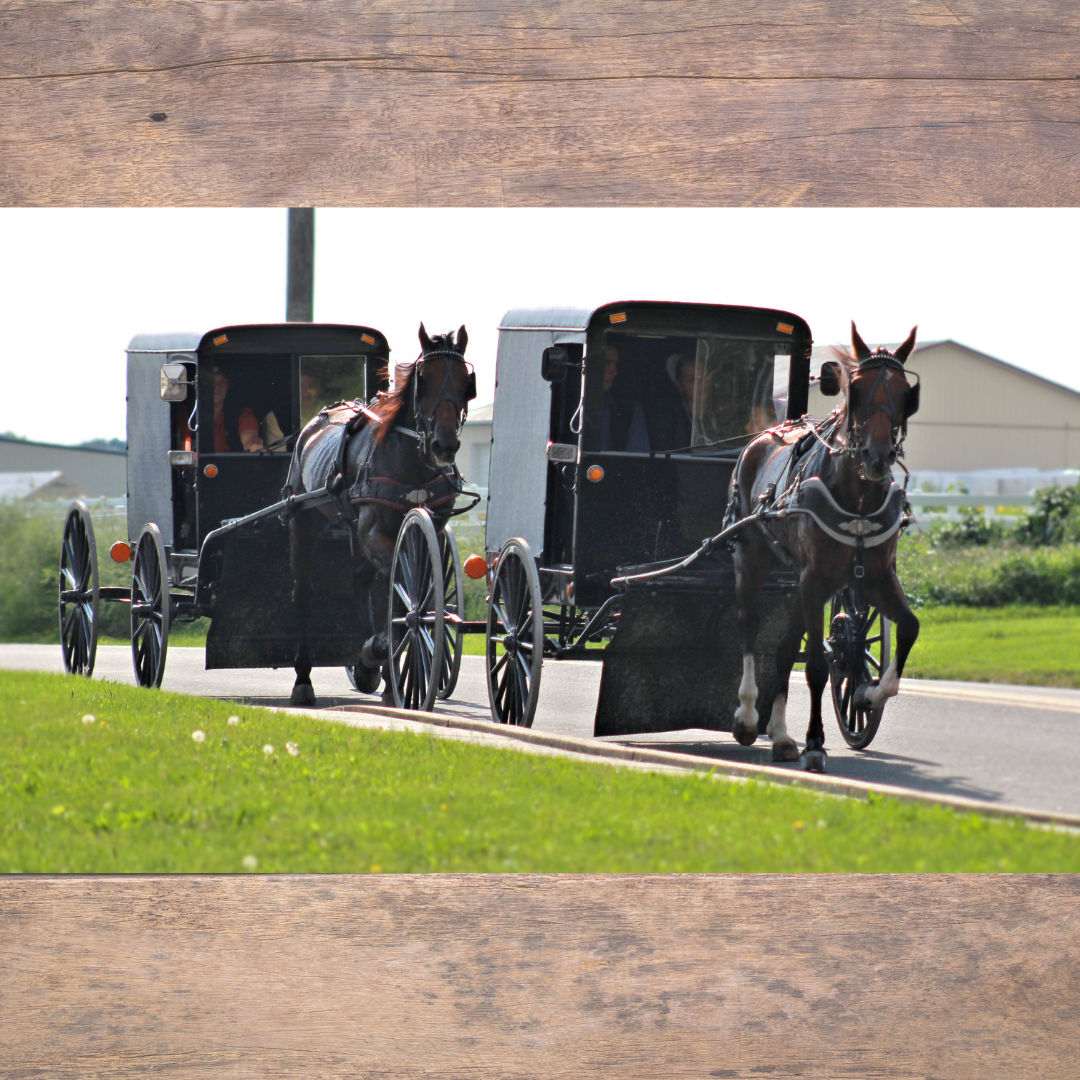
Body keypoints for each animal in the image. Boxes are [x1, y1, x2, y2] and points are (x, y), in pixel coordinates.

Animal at [285, 324, 475, 704]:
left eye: (465, 381)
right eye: (424, 379)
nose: (444, 445)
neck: (410, 463)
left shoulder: (424, 529)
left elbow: (406, 592)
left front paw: (381, 662)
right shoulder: (373, 532)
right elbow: (398, 592)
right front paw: (377, 651)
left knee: (363, 580)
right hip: (304, 520)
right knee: (304, 593)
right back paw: (304, 679)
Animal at [725, 324, 920, 773]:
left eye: (906, 394)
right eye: (858, 389)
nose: (877, 456)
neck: (858, 499)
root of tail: (764, 435)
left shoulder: (876, 578)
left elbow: (908, 627)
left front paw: (866, 695)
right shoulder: (814, 581)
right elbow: (815, 664)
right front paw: (815, 743)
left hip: (794, 580)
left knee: (783, 649)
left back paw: (780, 735)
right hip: (752, 558)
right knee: (748, 626)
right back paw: (748, 716)